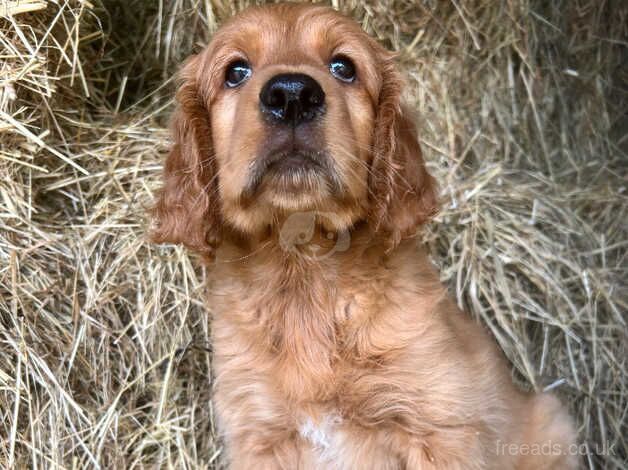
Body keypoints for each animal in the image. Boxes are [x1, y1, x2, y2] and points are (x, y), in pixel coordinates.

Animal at [151, 3, 576, 470]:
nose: (292, 95)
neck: (304, 268)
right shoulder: (260, 435)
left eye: (344, 67)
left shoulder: (440, 430)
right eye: (235, 72)